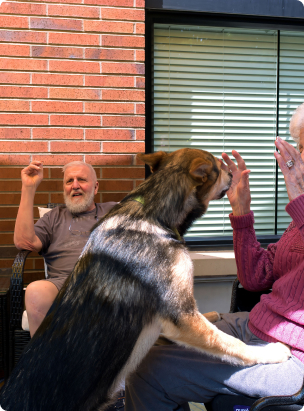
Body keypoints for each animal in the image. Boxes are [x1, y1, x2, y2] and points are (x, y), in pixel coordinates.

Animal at [0, 149, 290, 411]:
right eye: (219, 168)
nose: (232, 173)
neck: (153, 211)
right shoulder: (180, 316)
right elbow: (230, 343)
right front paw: (268, 351)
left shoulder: (177, 313)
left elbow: (209, 325)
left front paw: (212, 314)